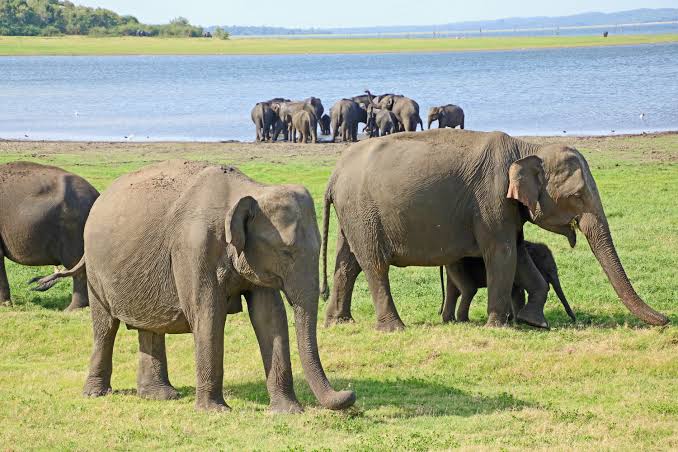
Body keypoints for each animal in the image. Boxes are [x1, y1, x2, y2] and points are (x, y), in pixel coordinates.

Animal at [34, 160, 355, 413]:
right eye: (287, 252)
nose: (349, 394)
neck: (247, 190)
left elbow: (269, 316)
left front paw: (287, 411)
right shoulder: (194, 248)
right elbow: (208, 313)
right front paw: (216, 412)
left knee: (150, 327)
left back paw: (160, 396)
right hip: (97, 270)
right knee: (105, 327)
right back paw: (96, 393)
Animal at [441, 240, 576, 324]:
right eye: (547, 270)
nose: (574, 320)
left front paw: (514, 319)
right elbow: (515, 292)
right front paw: (517, 321)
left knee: (453, 291)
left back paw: (449, 320)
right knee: (467, 290)